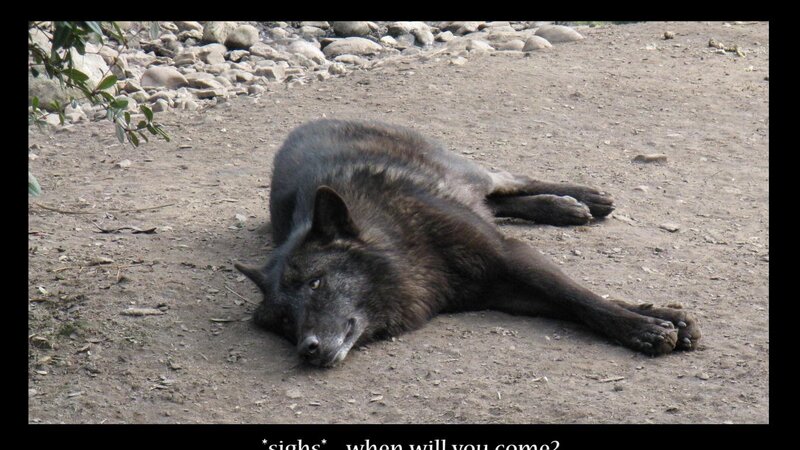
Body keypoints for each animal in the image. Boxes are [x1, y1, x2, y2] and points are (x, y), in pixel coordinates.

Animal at [235, 119, 700, 367]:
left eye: (316, 283)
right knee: (499, 200)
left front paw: (646, 327)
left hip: (470, 172)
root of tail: (312, 121)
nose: (307, 350)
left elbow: (580, 298)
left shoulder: (510, 256)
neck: (399, 238)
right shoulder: (500, 291)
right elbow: (575, 304)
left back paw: (582, 199)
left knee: (509, 181)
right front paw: (661, 318)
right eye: (282, 321)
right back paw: (563, 208)